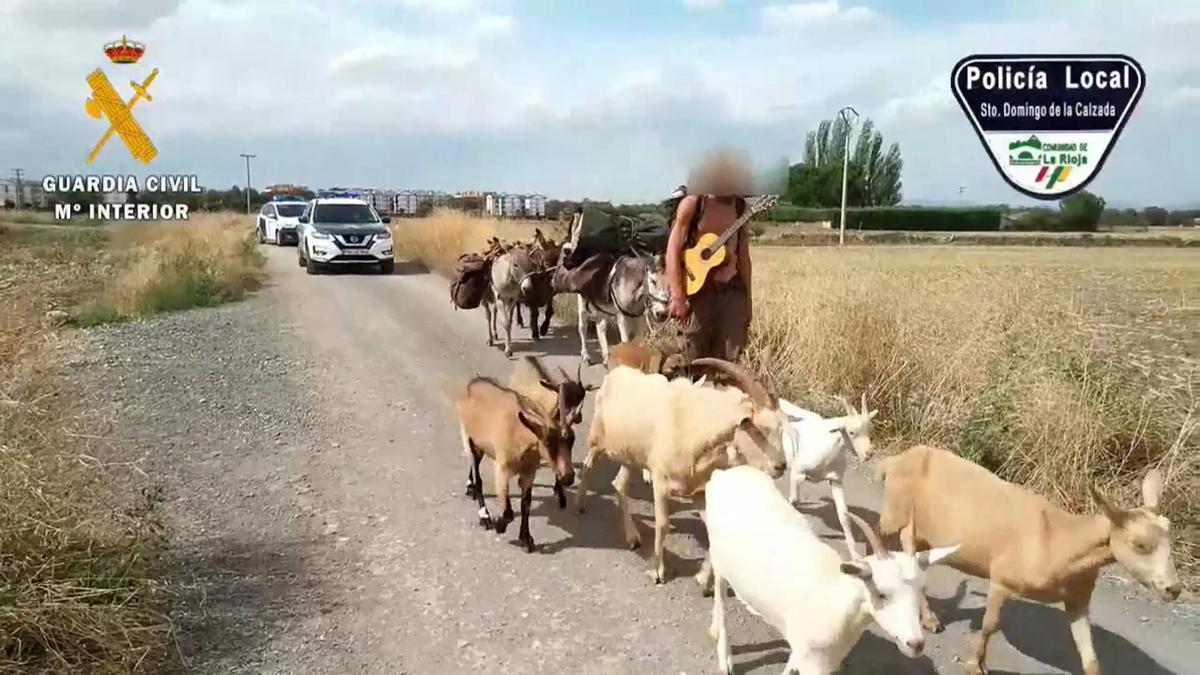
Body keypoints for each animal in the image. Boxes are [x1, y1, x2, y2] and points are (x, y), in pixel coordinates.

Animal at [453, 374, 576, 550]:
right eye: (547, 442)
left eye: (572, 440)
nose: (568, 476)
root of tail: (473, 383)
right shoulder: (502, 470)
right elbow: (508, 512)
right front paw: (499, 526)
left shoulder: (529, 473)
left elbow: (526, 504)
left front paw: (526, 539)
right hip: (468, 437)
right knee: (478, 476)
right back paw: (484, 515)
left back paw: (470, 488)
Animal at [700, 461, 955, 672]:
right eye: (881, 593)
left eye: (921, 592)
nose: (916, 643)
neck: (836, 597)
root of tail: (723, 474)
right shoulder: (814, 662)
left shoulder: (809, 654)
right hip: (720, 559)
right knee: (721, 597)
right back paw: (724, 654)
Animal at [772, 391, 878, 554]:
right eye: (851, 432)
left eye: (869, 429)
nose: (869, 454)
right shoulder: (798, 473)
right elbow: (794, 500)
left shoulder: (836, 480)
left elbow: (844, 515)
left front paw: (854, 554)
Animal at [878, 441, 1185, 672]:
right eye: (1140, 544)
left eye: (1170, 533)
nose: (1174, 588)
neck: (1060, 542)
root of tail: (897, 460)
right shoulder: (1003, 578)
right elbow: (989, 625)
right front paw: (975, 664)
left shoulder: (1078, 599)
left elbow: (1090, 657)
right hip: (898, 513)